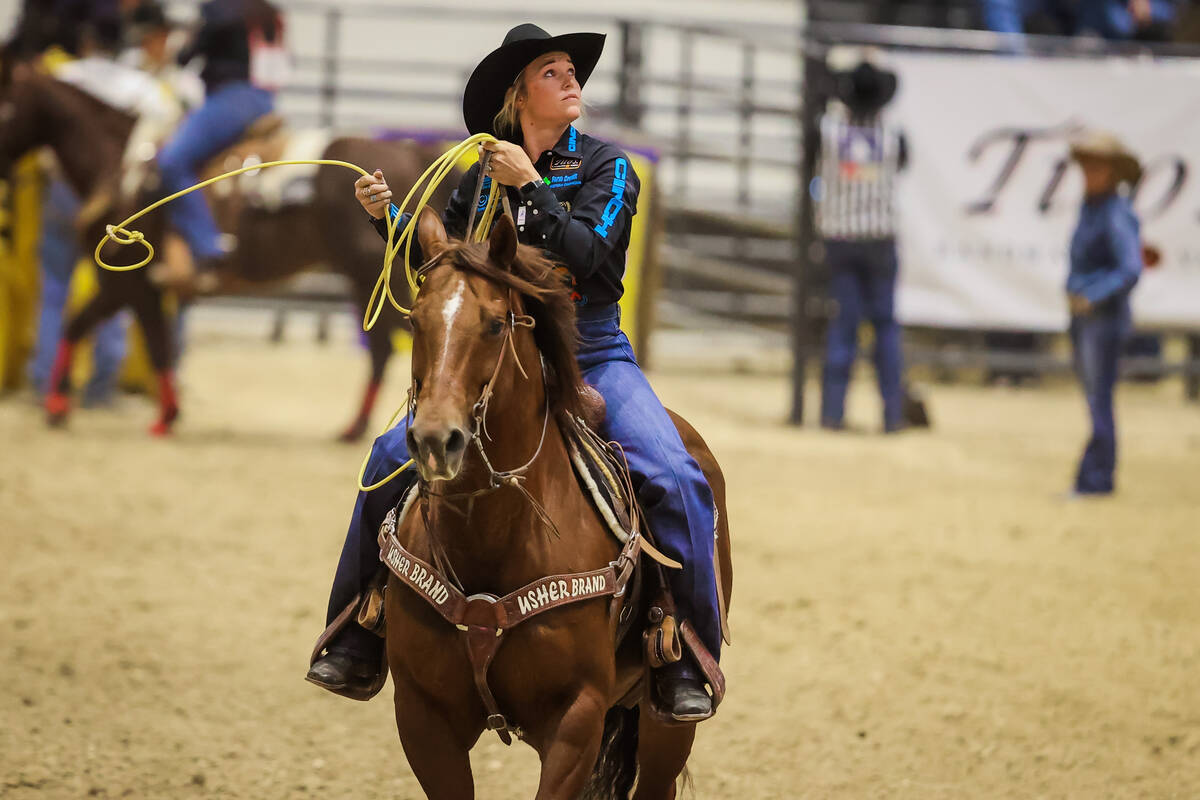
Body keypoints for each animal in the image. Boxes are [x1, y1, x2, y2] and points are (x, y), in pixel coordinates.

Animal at [0, 57, 448, 438]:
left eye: (6, 107)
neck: (120, 165)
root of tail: (411, 151)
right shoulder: (134, 288)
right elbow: (132, 338)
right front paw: (161, 413)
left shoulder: (129, 285)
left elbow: (116, 335)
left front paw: (65, 408)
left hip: (368, 275)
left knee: (384, 347)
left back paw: (358, 428)